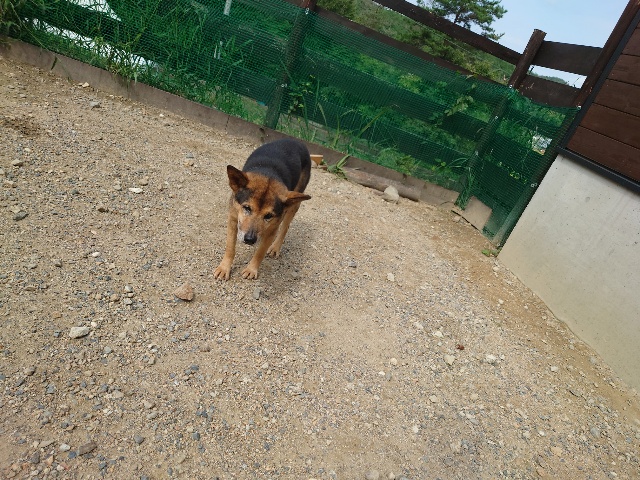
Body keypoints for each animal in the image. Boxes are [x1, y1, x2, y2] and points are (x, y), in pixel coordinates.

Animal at [214, 138, 311, 280]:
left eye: (268, 216)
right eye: (247, 208)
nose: (250, 240)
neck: (268, 174)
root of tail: (296, 140)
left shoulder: (272, 230)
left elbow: (260, 252)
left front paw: (251, 269)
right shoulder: (233, 220)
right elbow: (230, 247)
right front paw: (224, 268)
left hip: (295, 202)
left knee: (285, 226)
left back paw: (275, 247)